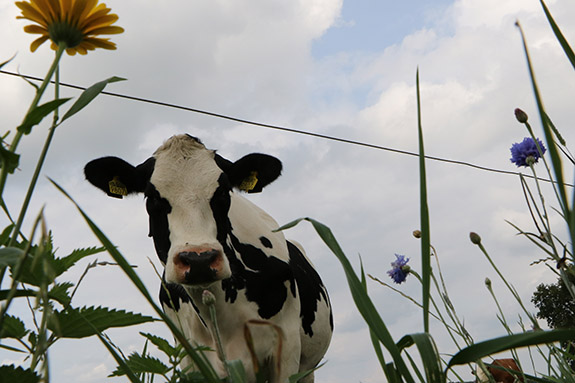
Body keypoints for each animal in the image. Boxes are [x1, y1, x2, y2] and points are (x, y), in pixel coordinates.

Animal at [83, 135, 330, 383]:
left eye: (223, 192)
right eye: (151, 197)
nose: (199, 260)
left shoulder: (286, 350)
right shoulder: (190, 359)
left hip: (307, 366)